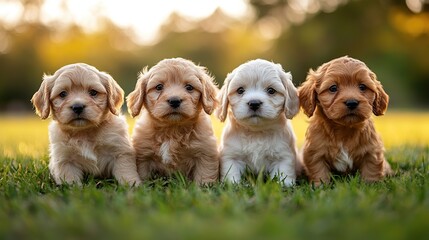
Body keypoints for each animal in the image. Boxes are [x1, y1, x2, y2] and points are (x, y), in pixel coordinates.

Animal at [216, 59, 300, 187]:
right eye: (240, 90)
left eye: (271, 91)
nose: (254, 103)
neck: (257, 132)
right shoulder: (231, 156)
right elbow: (232, 173)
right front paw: (233, 184)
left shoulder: (283, 157)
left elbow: (283, 174)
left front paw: (284, 185)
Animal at [298, 56, 392, 186]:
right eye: (333, 88)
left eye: (362, 87)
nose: (352, 102)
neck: (344, 129)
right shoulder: (315, 152)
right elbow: (319, 170)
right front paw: (320, 186)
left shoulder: (372, 151)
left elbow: (371, 169)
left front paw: (371, 184)